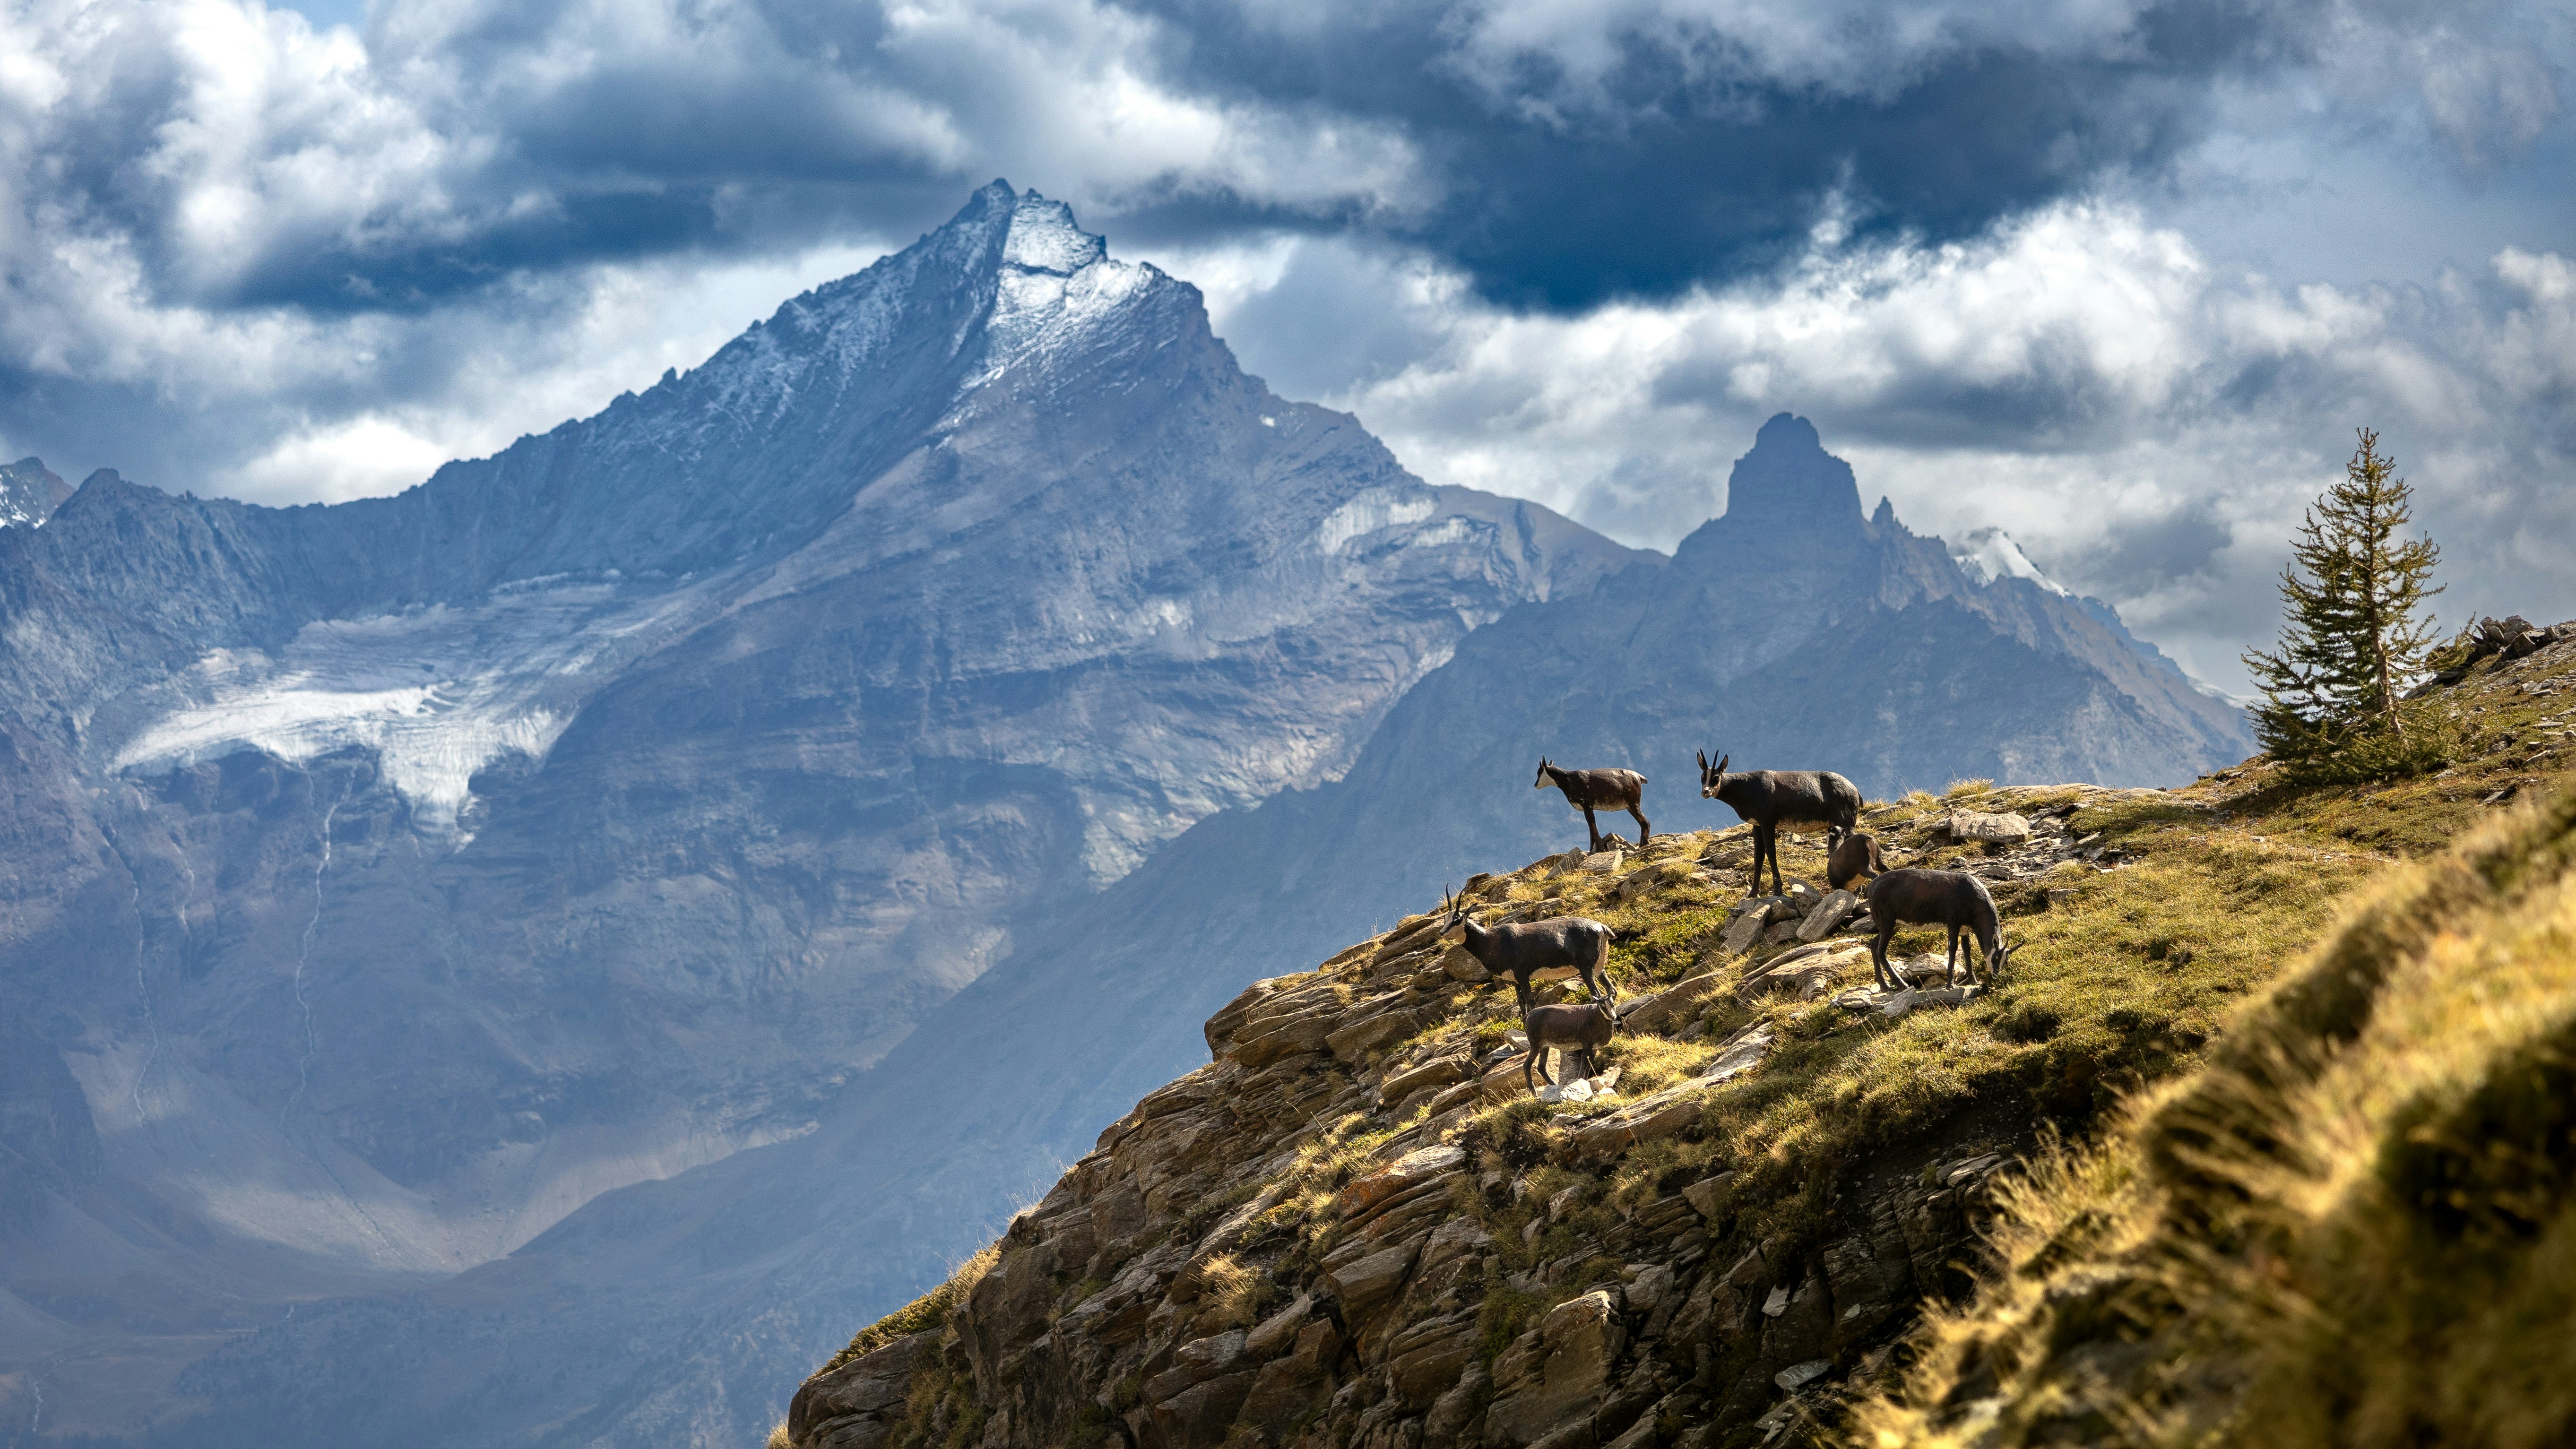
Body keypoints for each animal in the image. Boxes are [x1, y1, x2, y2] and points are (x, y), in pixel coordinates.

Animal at [1440, 888, 1612, 1011]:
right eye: (1445, 918)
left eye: (1457, 920)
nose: (1442, 932)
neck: (1491, 940)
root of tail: (1601, 926)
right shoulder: (1515, 980)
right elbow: (1521, 1005)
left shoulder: (1522, 975)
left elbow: (1530, 1002)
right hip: (1599, 968)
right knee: (1611, 990)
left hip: (1586, 969)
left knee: (1597, 994)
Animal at [1521, 1000, 1620, 1095]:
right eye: (1602, 1006)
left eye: (1613, 1004)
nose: (1613, 1017)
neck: (1596, 1016)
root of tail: (1527, 1016)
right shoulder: (1587, 1044)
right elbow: (1584, 1062)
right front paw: (1580, 1081)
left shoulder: (1594, 1049)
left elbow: (1589, 1065)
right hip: (1536, 1045)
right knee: (1527, 1065)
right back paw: (1534, 1092)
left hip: (1545, 1047)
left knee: (1541, 1067)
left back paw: (1554, 1085)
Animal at [1534, 758, 1650, 852]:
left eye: (1539, 772)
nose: (1536, 785)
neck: (1568, 780)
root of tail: (1639, 777)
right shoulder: (1588, 808)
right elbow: (1591, 826)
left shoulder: (1587, 805)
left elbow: (1592, 824)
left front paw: (1598, 849)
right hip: (1630, 806)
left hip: (1633, 804)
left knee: (1646, 823)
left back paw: (1644, 845)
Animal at [1697, 752, 1862, 896]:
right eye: (1702, 777)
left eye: (1716, 777)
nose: (1705, 792)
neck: (1745, 787)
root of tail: (1854, 790)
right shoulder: (1757, 825)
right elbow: (1758, 855)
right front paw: (1753, 893)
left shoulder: (1768, 821)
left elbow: (1771, 851)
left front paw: (1778, 889)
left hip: (1847, 821)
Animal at [1862, 868, 2011, 991]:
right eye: (1996, 958)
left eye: (2006, 960)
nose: (1997, 975)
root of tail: (1871, 887)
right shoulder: (1954, 922)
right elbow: (1953, 947)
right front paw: (1950, 985)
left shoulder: (1965, 929)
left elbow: (1967, 949)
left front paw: (1974, 981)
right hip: (1887, 922)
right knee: (1881, 951)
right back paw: (1902, 985)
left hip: (1894, 925)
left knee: (1874, 944)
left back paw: (1885, 986)